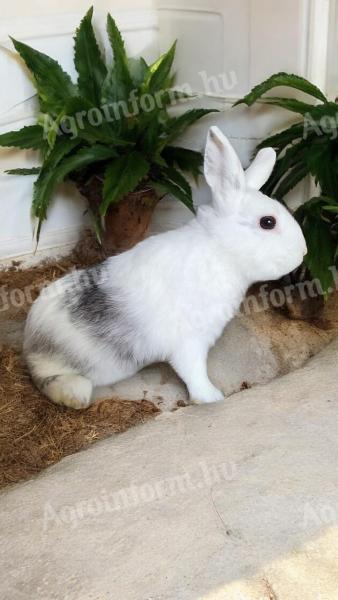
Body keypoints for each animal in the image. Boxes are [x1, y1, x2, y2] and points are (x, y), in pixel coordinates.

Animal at [23, 126, 308, 408]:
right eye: (268, 222)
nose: (303, 252)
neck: (220, 250)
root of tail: (30, 341)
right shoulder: (190, 341)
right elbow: (194, 372)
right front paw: (211, 397)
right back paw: (74, 396)